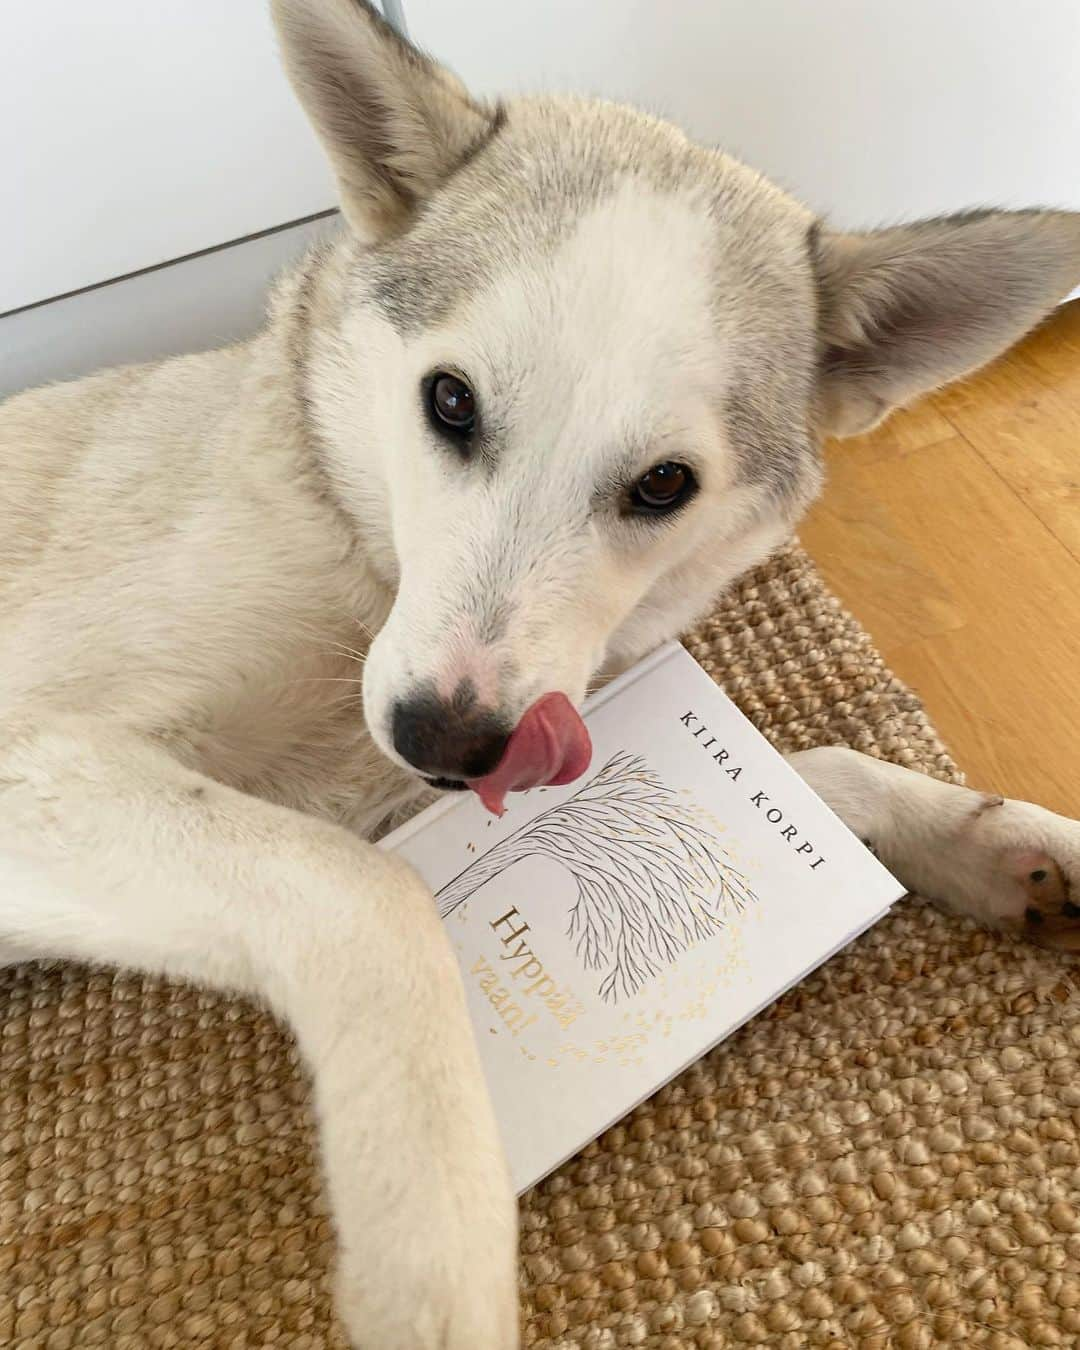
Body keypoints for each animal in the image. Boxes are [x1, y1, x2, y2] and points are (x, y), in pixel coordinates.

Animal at [2, 5, 1080, 1344]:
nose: (449, 738)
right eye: (450, 402)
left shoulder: (406, 787)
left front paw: (983, 834)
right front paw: (432, 1259)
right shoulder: (49, 768)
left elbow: (813, 768)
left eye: (663, 485)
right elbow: (375, 905)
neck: (358, 548)